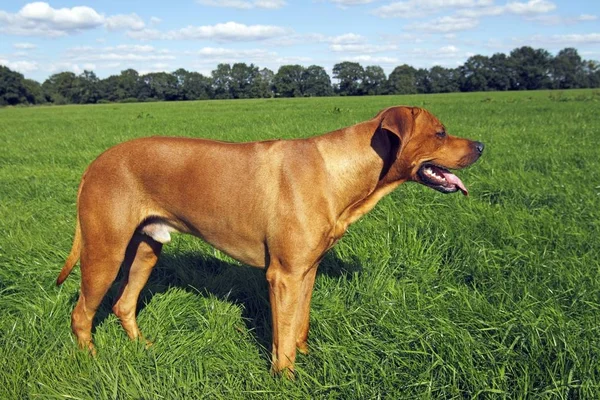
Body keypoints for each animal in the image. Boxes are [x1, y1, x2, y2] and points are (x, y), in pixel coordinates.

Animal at [57, 105, 482, 376]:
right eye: (441, 133)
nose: (481, 146)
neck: (339, 170)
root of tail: (94, 164)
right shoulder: (283, 276)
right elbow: (284, 338)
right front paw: (286, 378)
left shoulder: (306, 271)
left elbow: (299, 326)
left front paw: (308, 361)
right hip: (105, 252)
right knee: (82, 314)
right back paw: (91, 361)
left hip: (146, 250)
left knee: (124, 305)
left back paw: (144, 347)